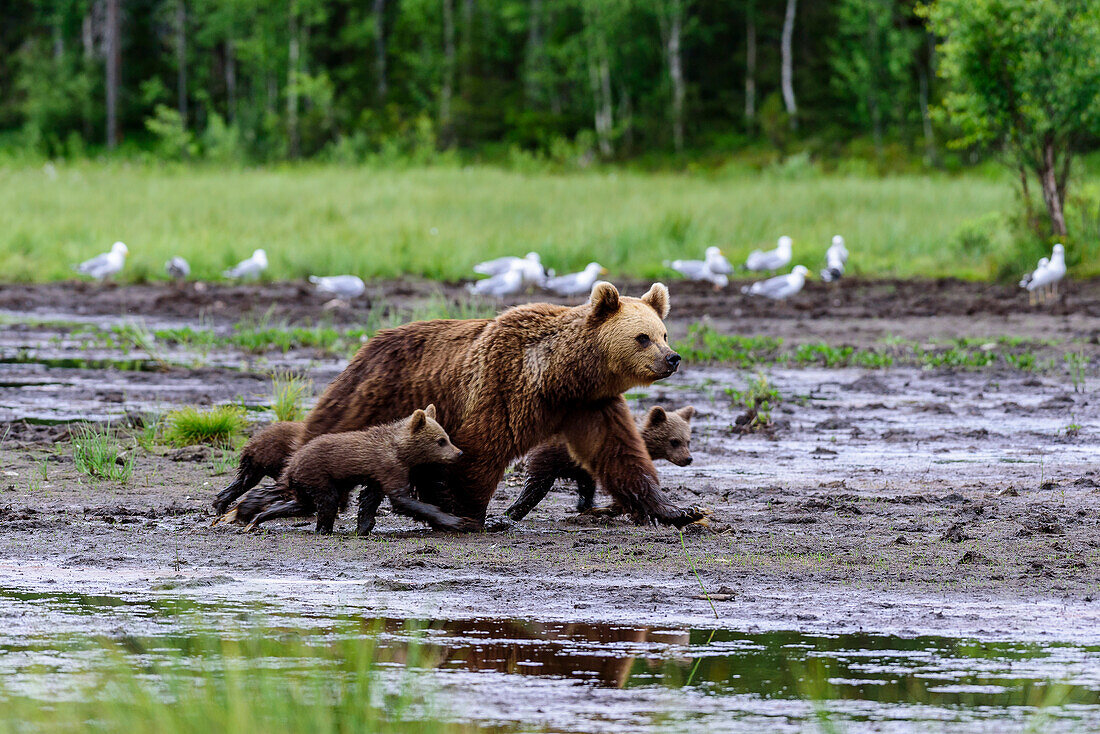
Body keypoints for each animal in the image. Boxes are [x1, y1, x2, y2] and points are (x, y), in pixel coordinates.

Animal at [223, 407, 468, 534]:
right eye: (440, 441)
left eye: (446, 436)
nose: (459, 453)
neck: (401, 450)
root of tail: (291, 465)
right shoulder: (388, 465)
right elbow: (402, 499)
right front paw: (456, 520)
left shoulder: (377, 474)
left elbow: (370, 499)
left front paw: (363, 528)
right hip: (317, 475)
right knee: (327, 502)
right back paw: (324, 529)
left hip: (304, 482)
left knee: (302, 504)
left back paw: (257, 518)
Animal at [506, 404, 695, 519]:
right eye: (674, 441)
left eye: (688, 440)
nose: (688, 459)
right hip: (552, 457)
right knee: (536, 485)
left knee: (586, 487)